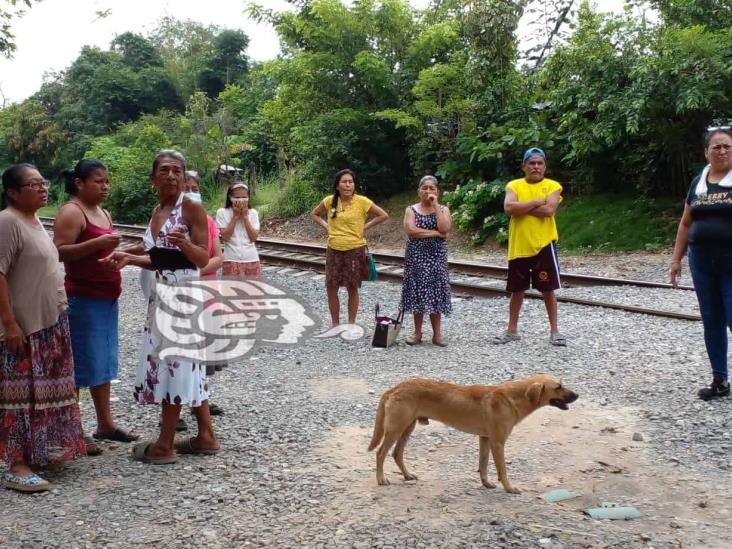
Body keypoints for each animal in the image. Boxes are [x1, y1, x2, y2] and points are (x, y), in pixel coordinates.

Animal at [368, 372, 576, 492]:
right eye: (558, 387)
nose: (577, 395)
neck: (512, 398)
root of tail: (395, 387)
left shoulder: (484, 438)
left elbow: (483, 465)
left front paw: (486, 484)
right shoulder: (498, 442)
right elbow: (503, 469)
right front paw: (509, 488)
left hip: (407, 428)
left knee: (396, 453)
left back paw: (407, 475)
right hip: (395, 429)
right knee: (380, 453)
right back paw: (381, 479)